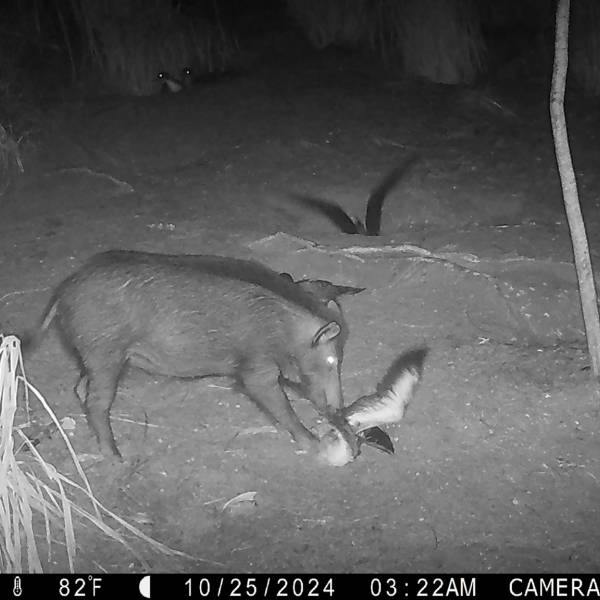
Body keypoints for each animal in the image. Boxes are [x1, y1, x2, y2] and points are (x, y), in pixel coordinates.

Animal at [29, 251, 356, 458]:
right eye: (331, 361)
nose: (341, 413)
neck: (283, 330)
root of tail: (63, 292)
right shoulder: (257, 366)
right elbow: (278, 403)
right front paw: (314, 445)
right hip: (104, 351)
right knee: (96, 401)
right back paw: (116, 456)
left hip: (96, 355)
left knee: (80, 387)